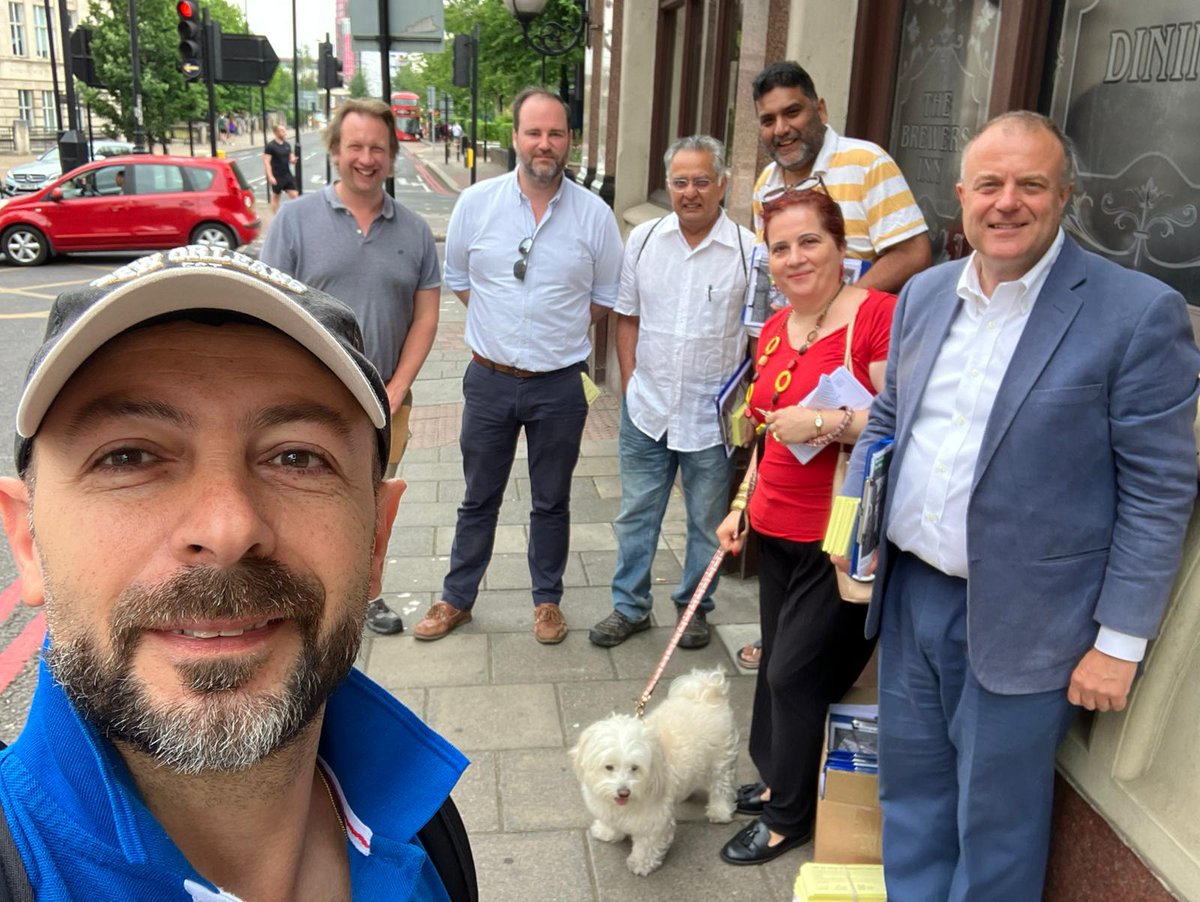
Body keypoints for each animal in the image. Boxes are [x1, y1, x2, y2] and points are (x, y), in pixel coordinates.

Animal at [566, 671, 734, 873]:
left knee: (721, 786)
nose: (623, 792)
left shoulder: (653, 820)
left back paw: (720, 811)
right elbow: (612, 822)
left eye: (635, 768)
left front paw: (641, 863)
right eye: (609, 767)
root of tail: (706, 689)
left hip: (720, 762)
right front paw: (608, 832)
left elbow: (647, 844)